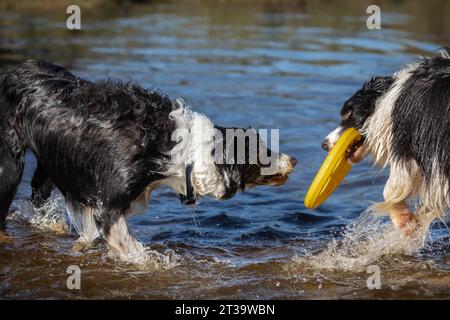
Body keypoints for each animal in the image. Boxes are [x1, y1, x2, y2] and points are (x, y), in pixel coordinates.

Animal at [0, 61, 298, 262]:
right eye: (263, 150)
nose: (293, 159)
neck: (181, 148)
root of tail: (13, 70)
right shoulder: (108, 205)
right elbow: (135, 251)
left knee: (38, 191)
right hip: (11, 165)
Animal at [326, 49, 448, 235]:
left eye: (348, 113)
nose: (324, 144)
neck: (386, 97)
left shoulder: (407, 145)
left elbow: (390, 190)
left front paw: (407, 223)